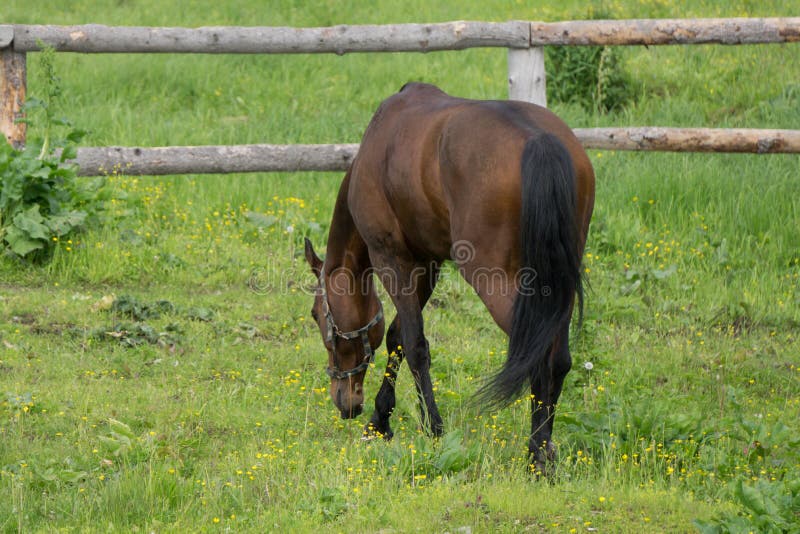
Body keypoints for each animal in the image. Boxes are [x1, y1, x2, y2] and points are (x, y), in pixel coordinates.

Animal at [304, 82, 595, 470]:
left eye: (316, 315)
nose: (344, 400)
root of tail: (540, 139)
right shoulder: (428, 263)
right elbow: (397, 335)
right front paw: (381, 420)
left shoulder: (391, 257)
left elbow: (414, 345)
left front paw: (433, 428)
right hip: (556, 287)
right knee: (560, 359)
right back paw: (546, 447)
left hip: (499, 283)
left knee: (539, 356)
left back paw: (535, 455)